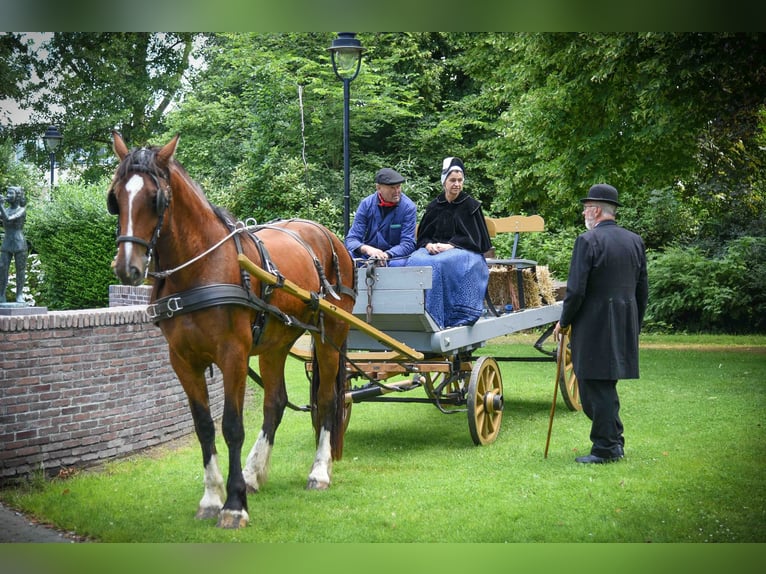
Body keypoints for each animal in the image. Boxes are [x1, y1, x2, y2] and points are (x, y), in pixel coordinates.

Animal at [107, 133, 356, 528]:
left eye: (156, 198)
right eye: (115, 198)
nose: (126, 268)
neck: (200, 267)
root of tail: (329, 237)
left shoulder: (233, 356)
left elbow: (232, 426)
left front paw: (235, 504)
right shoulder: (182, 360)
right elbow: (204, 426)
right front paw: (212, 497)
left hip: (330, 335)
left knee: (328, 399)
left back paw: (318, 472)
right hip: (275, 343)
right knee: (275, 402)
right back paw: (254, 472)